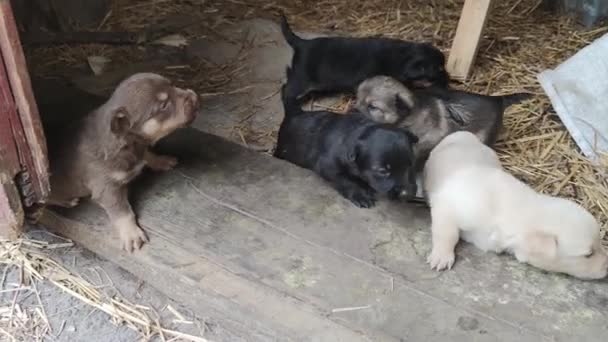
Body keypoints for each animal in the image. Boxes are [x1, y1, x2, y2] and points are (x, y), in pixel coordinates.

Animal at [48, 73, 200, 252]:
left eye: (173, 85)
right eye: (163, 105)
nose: (195, 96)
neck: (130, 142)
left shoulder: (140, 148)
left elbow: (147, 154)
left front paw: (162, 160)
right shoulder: (106, 187)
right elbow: (122, 211)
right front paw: (132, 234)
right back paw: (66, 201)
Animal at [276, 82, 418, 208]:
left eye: (410, 164)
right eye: (382, 171)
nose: (407, 194)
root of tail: (295, 113)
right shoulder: (328, 166)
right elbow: (346, 181)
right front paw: (360, 195)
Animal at [280, 14, 446, 100]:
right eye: (439, 68)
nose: (447, 78)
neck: (402, 56)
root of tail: (301, 43)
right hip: (301, 79)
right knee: (287, 89)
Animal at [422, 132, 608, 280]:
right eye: (588, 255)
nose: (607, 268)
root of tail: (463, 134)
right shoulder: (447, 206)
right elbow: (447, 233)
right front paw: (441, 256)